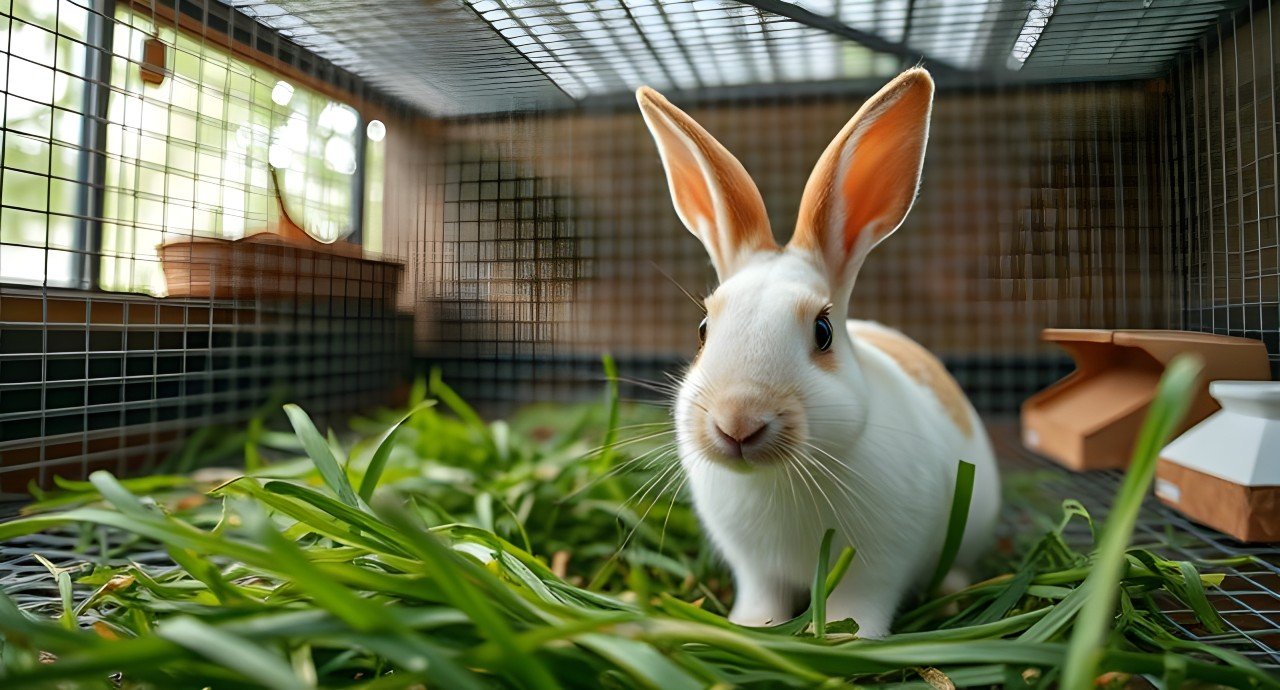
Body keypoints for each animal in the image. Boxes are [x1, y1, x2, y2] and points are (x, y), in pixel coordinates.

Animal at [635, 68, 1001, 638]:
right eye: (702, 329)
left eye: (823, 331)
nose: (737, 424)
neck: (776, 480)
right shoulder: (754, 568)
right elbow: (761, 598)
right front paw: (750, 626)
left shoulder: (876, 568)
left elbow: (861, 606)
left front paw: (846, 640)